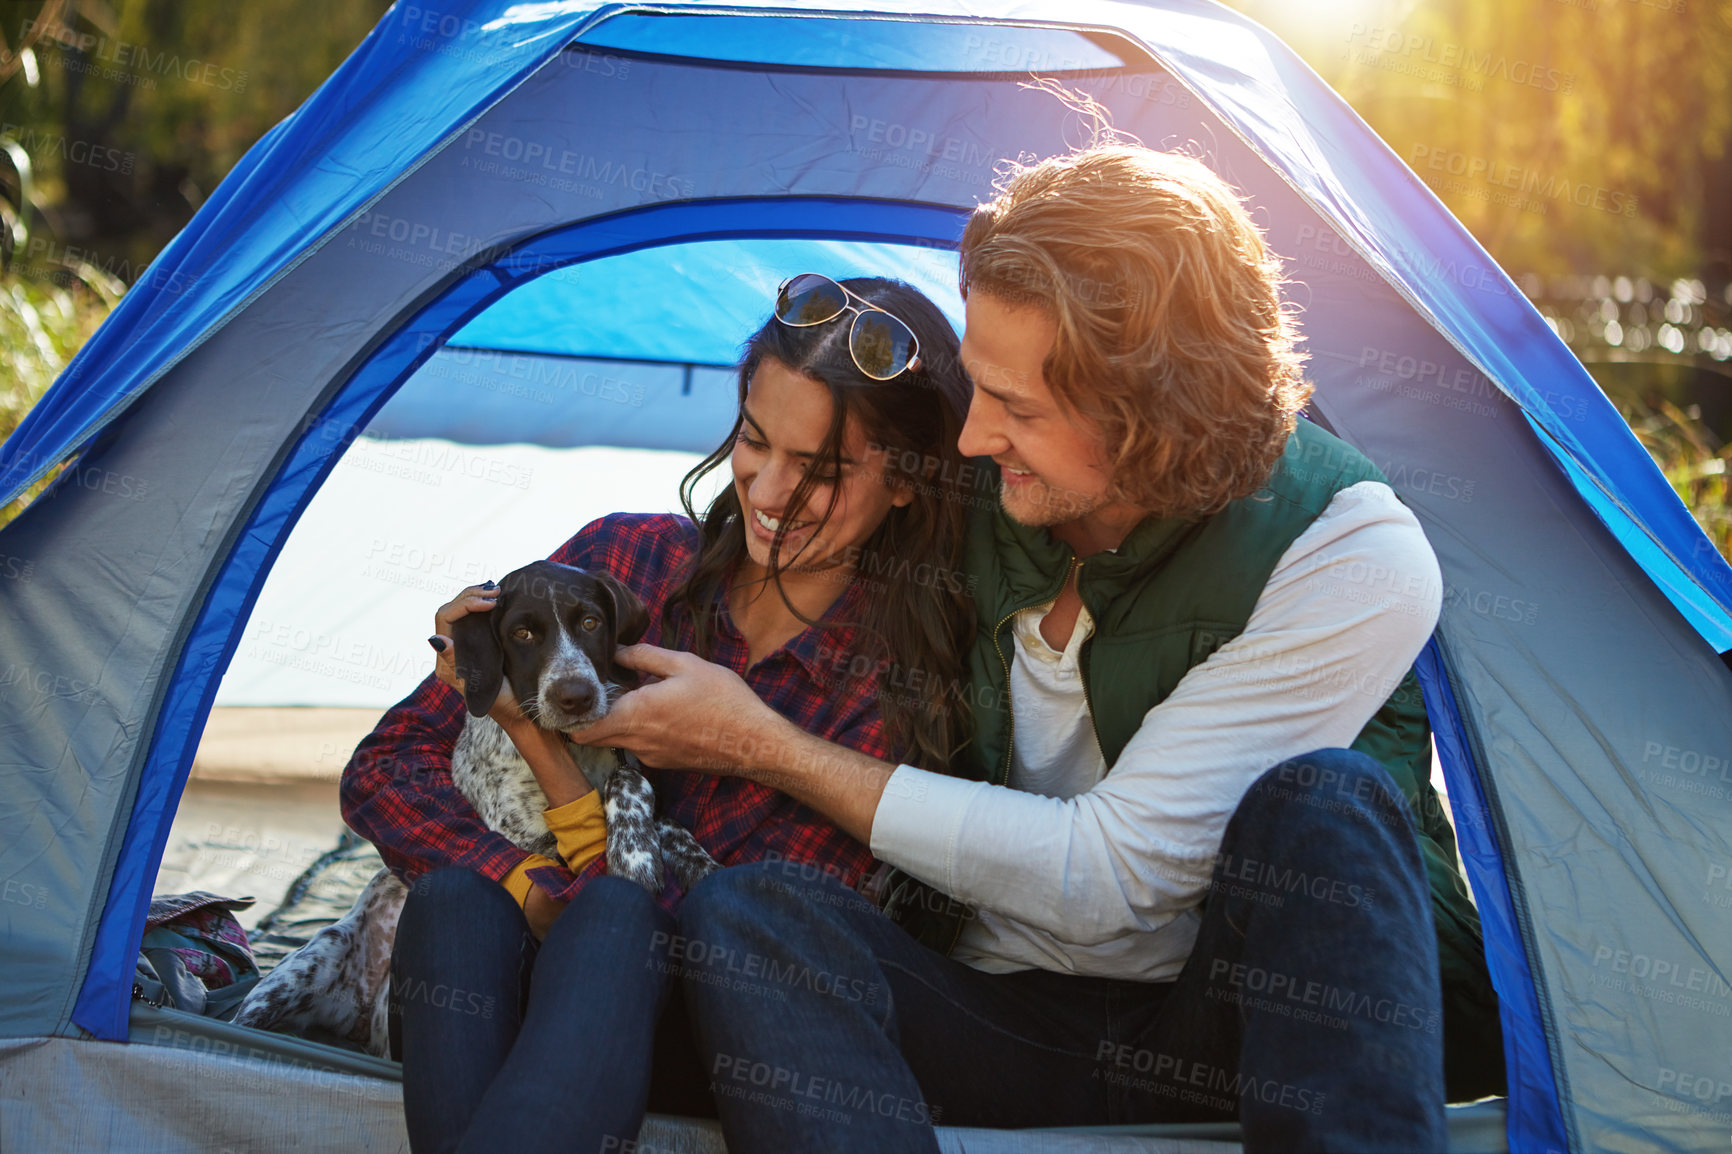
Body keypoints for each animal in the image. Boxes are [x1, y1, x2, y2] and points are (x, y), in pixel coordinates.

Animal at [232, 557, 717, 1053]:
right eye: (522, 633)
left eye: (590, 622)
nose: (575, 697)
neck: (573, 749)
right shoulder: (534, 851)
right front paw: (636, 856)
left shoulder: (627, 774)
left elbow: (640, 791)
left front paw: (665, 856)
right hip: (301, 971)